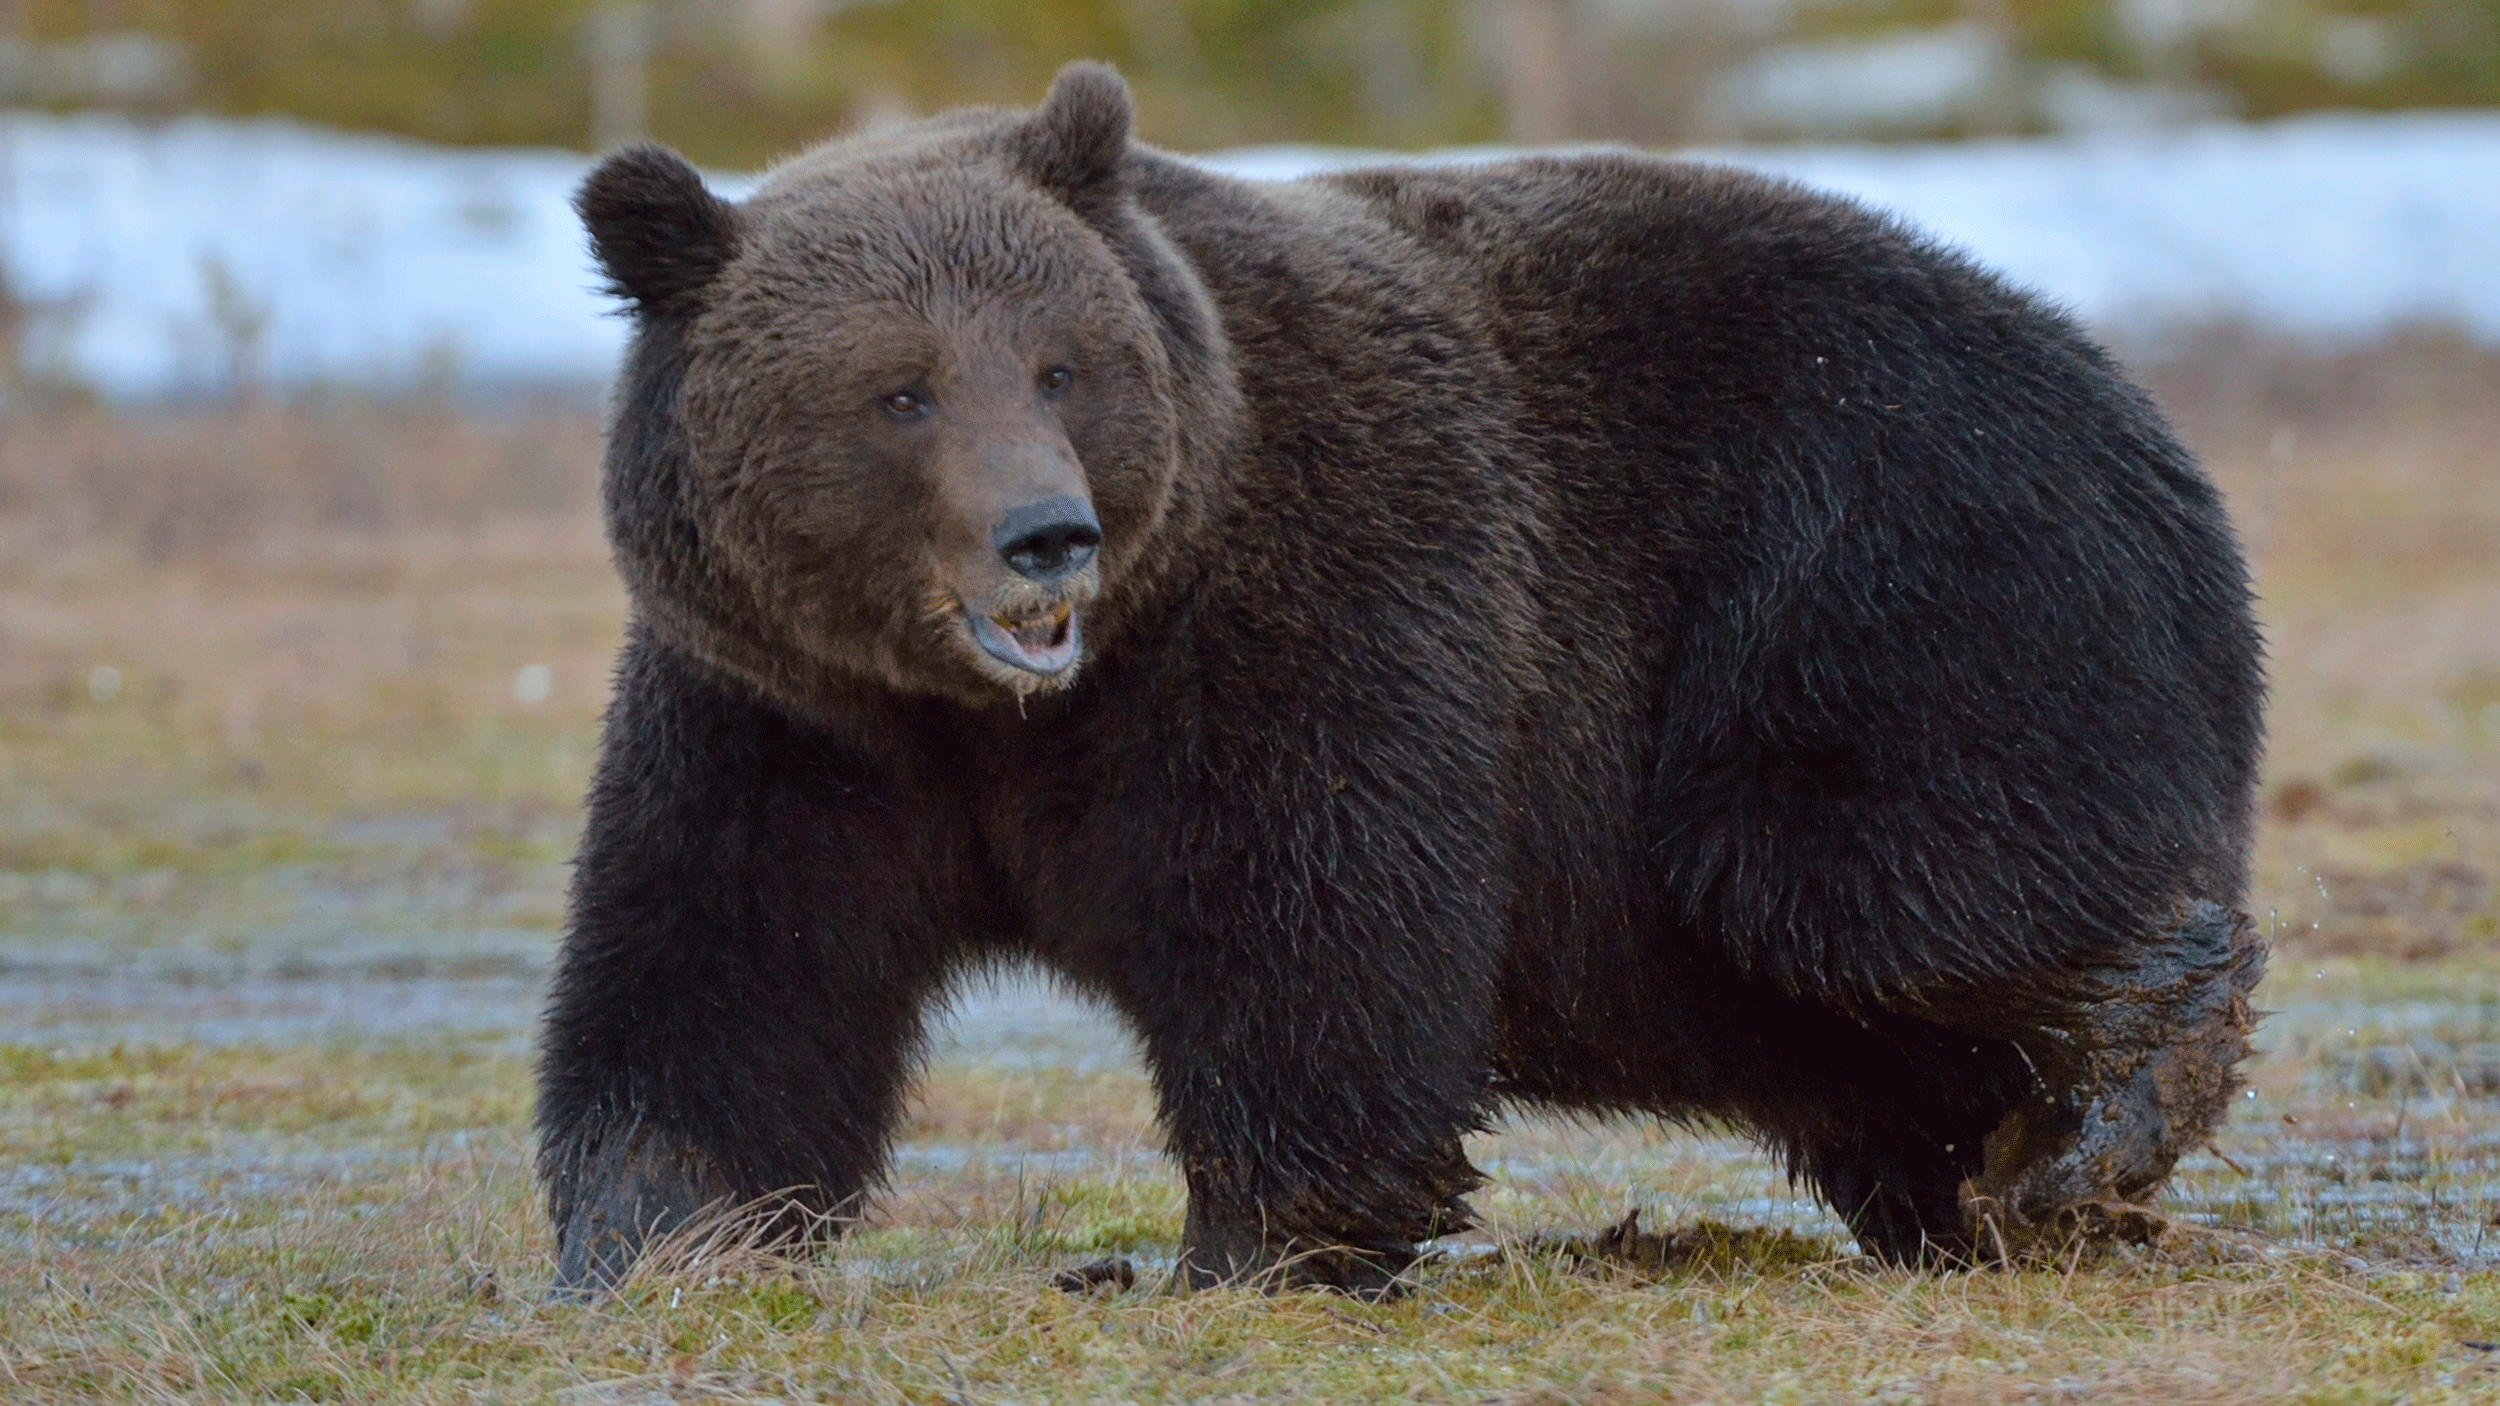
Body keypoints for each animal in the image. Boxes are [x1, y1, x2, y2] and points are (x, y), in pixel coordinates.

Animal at [536, 61, 2266, 1296]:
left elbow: (1310, 904)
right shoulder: (783, 712)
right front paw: (659, 1231)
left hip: (1876, 566)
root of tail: (2142, 411)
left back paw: (2109, 1096)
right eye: (898, 390)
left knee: (1850, 873)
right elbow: (727, 963)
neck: (1006, 712)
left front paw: (1252, 1240)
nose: (1045, 537)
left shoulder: (1309, 589)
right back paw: (2008, 1175)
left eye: (1058, 367)